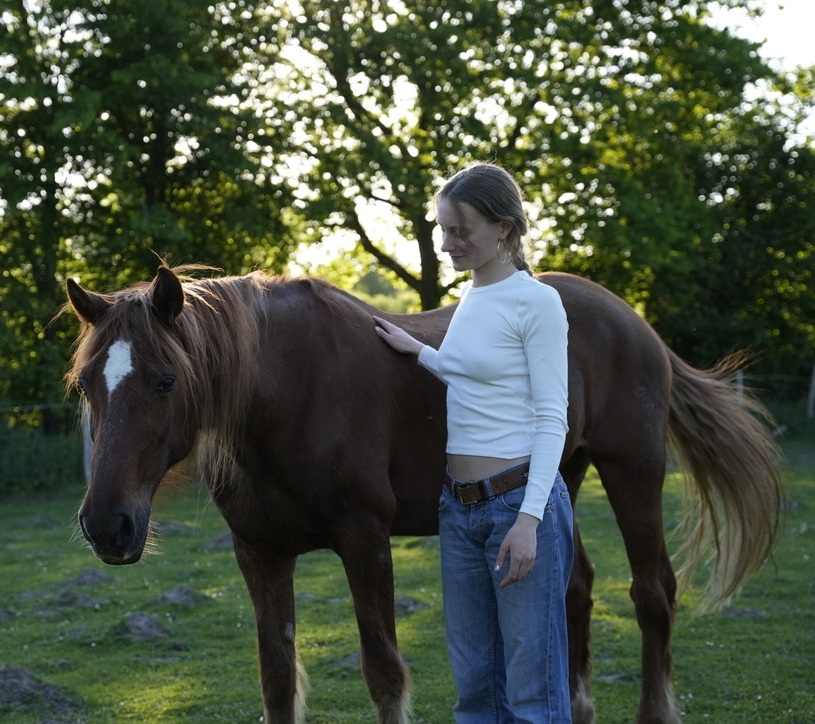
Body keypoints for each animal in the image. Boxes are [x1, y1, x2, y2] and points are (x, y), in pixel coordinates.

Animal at [65, 265, 783, 724]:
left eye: (164, 380)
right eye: (85, 385)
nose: (107, 525)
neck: (286, 391)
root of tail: (632, 318)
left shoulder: (364, 541)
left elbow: (383, 673)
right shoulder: (260, 555)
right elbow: (276, 679)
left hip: (631, 468)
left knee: (652, 593)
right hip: (559, 476)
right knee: (574, 588)